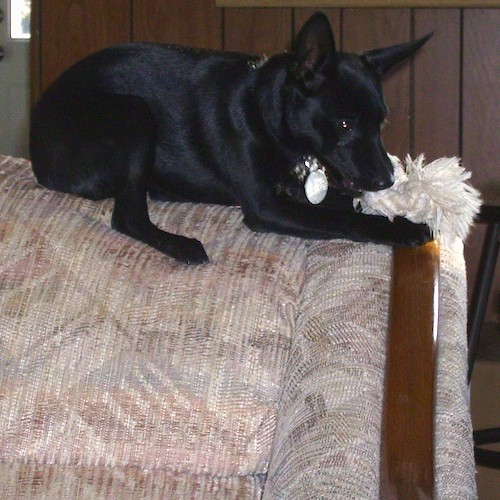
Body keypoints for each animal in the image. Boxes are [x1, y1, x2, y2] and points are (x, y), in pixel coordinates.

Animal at [31, 11, 432, 264]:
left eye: (382, 122)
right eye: (345, 125)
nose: (386, 180)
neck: (267, 115)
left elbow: (345, 202)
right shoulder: (266, 207)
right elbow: (346, 219)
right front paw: (403, 229)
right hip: (134, 113)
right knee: (127, 218)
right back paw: (182, 246)